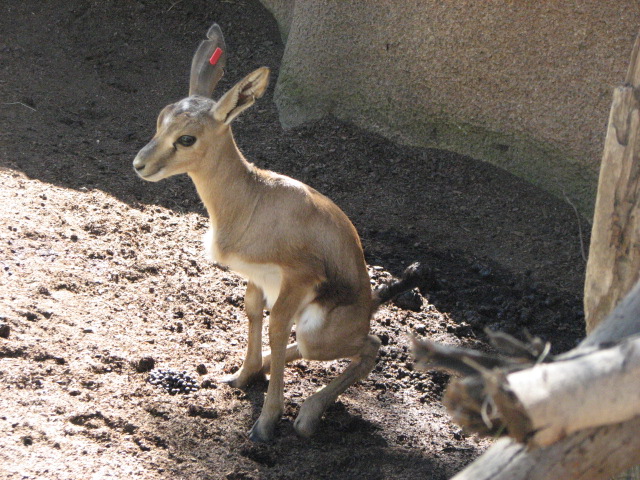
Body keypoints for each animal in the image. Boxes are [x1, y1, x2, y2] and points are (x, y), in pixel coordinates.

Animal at [133, 23, 424, 442]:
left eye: (187, 138)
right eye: (161, 120)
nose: (140, 164)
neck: (252, 200)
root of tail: (368, 305)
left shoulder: (297, 279)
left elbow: (275, 328)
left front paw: (266, 423)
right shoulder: (256, 276)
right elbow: (254, 313)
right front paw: (241, 376)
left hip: (319, 334)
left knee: (370, 345)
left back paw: (307, 416)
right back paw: (266, 370)